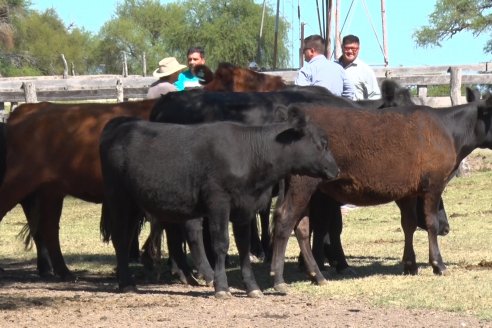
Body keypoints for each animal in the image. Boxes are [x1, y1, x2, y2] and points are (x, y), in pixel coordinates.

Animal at [98, 106, 340, 298]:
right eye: (322, 144)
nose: (336, 170)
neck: (249, 153)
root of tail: (118, 125)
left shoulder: (245, 208)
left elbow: (243, 247)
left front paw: (252, 288)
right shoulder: (218, 203)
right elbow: (221, 243)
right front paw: (221, 287)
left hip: (134, 205)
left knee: (126, 238)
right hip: (118, 198)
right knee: (120, 238)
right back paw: (126, 283)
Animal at [270, 88, 492, 294]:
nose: (447, 229)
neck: (448, 131)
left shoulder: (409, 191)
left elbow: (409, 224)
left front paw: (410, 264)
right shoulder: (433, 185)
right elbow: (431, 223)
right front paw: (438, 264)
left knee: (301, 226)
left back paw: (316, 275)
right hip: (303, 183)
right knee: (285, 220)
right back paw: (279, 279)